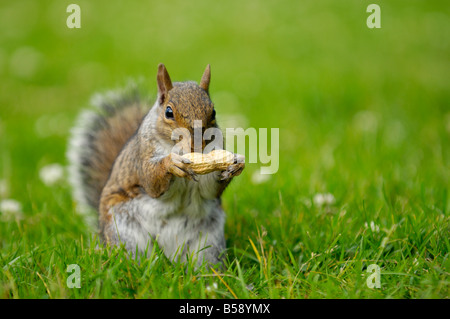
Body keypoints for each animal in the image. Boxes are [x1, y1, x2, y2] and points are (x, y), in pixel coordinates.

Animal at [66, 63, 246, 268]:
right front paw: (171, 163)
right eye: (168, 112)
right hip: (124, 233)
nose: (196, 145)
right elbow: (151, 181)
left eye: (213, 112)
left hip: (208, 244)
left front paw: (234, 165)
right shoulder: (143, 155)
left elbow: (209, 189)